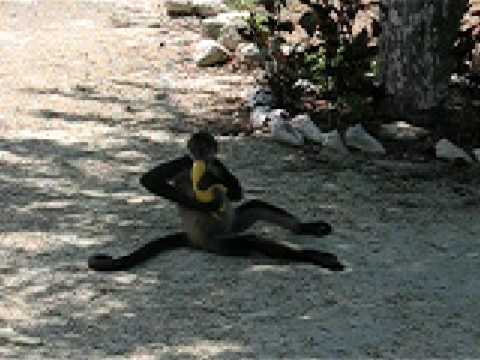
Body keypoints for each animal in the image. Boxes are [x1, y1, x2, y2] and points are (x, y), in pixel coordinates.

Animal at [88, 131, 344, 272]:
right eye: (196, 149)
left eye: (207, 149)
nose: (201, 157)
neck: (204, 165)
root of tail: (193, 238)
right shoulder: (186, 161)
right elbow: (149, 180)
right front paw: (208, 200)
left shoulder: (218, 162)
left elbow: (236, 194)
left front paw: (215, 181)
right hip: (216, 242)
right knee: (251, 240)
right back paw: (313, 257)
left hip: (233, 223)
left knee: (257, 205)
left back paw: (306, 228)